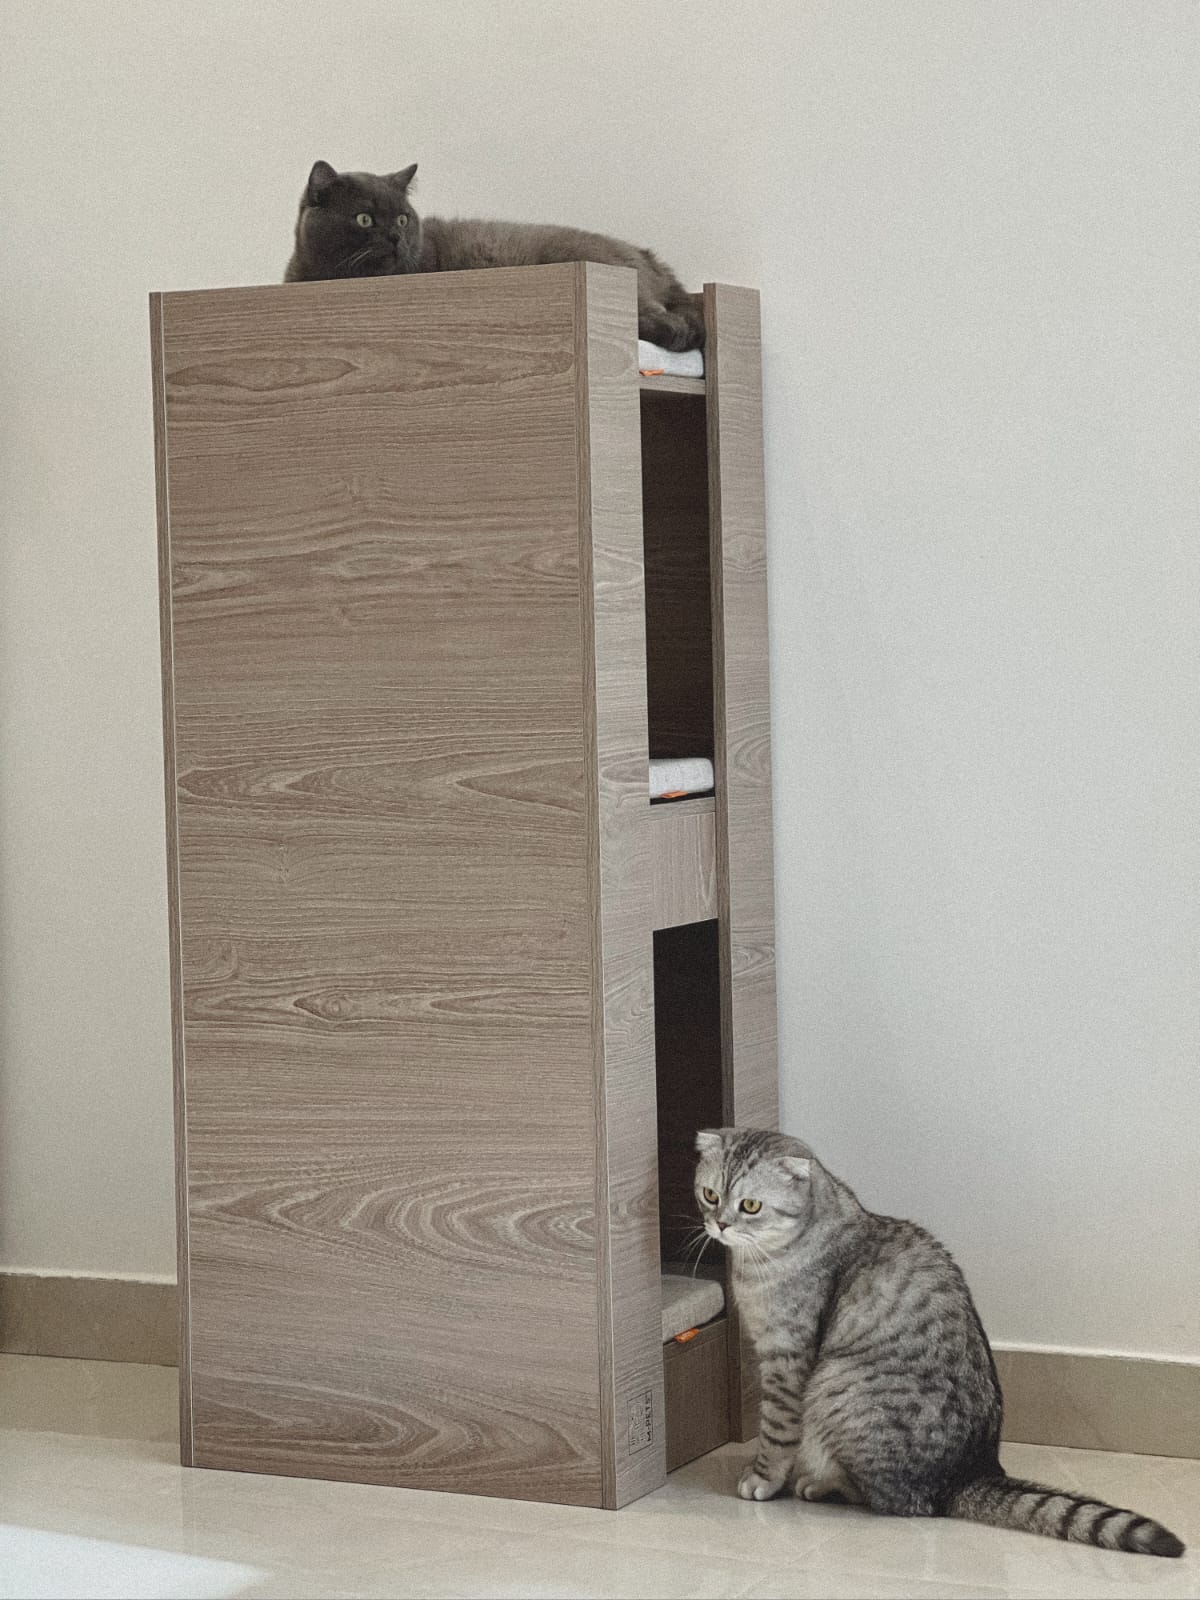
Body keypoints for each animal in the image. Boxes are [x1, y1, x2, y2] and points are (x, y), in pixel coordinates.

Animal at [694, 1127, 1184, 1558]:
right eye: (710, 1195)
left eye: (751, 1205)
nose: (719, 1225)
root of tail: (971, 1473)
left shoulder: (787, 1359)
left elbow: (777, 1430)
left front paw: (764, 1477)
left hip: (834, 1385)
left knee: (899, 1502)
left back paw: (820, 1483)